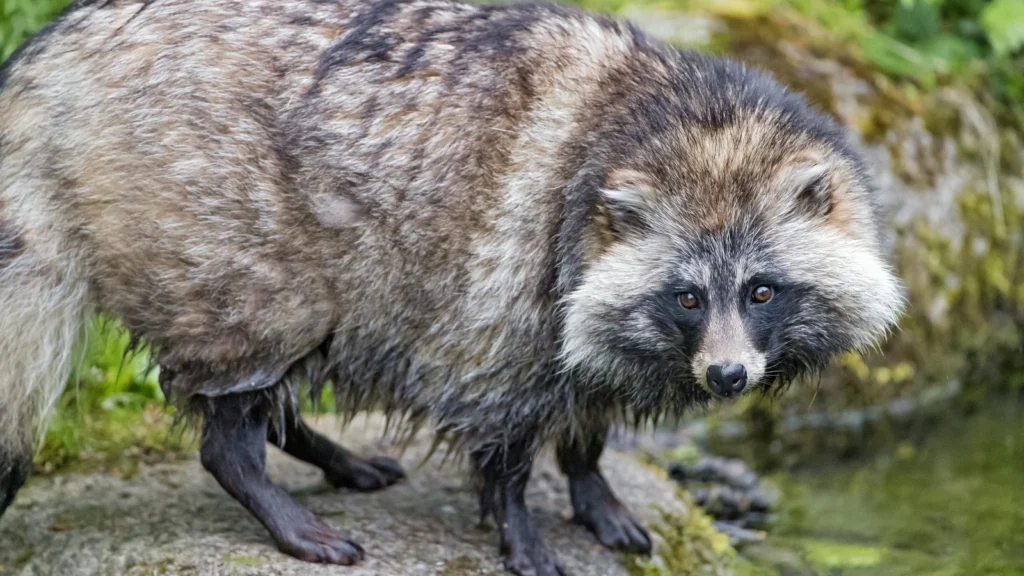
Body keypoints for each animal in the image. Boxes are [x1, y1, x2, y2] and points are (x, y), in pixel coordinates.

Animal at [0, 0, 905, 569]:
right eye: (687, 297)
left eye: (760, 291)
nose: (727, 376)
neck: (675, 117)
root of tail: (56, 56)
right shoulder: (513, 280)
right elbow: (505, 427)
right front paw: (519, 525)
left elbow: (590, 401)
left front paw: (592, 483)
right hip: (222, 240)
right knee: (242, 379)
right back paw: (263, 484)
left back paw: (321, 448)